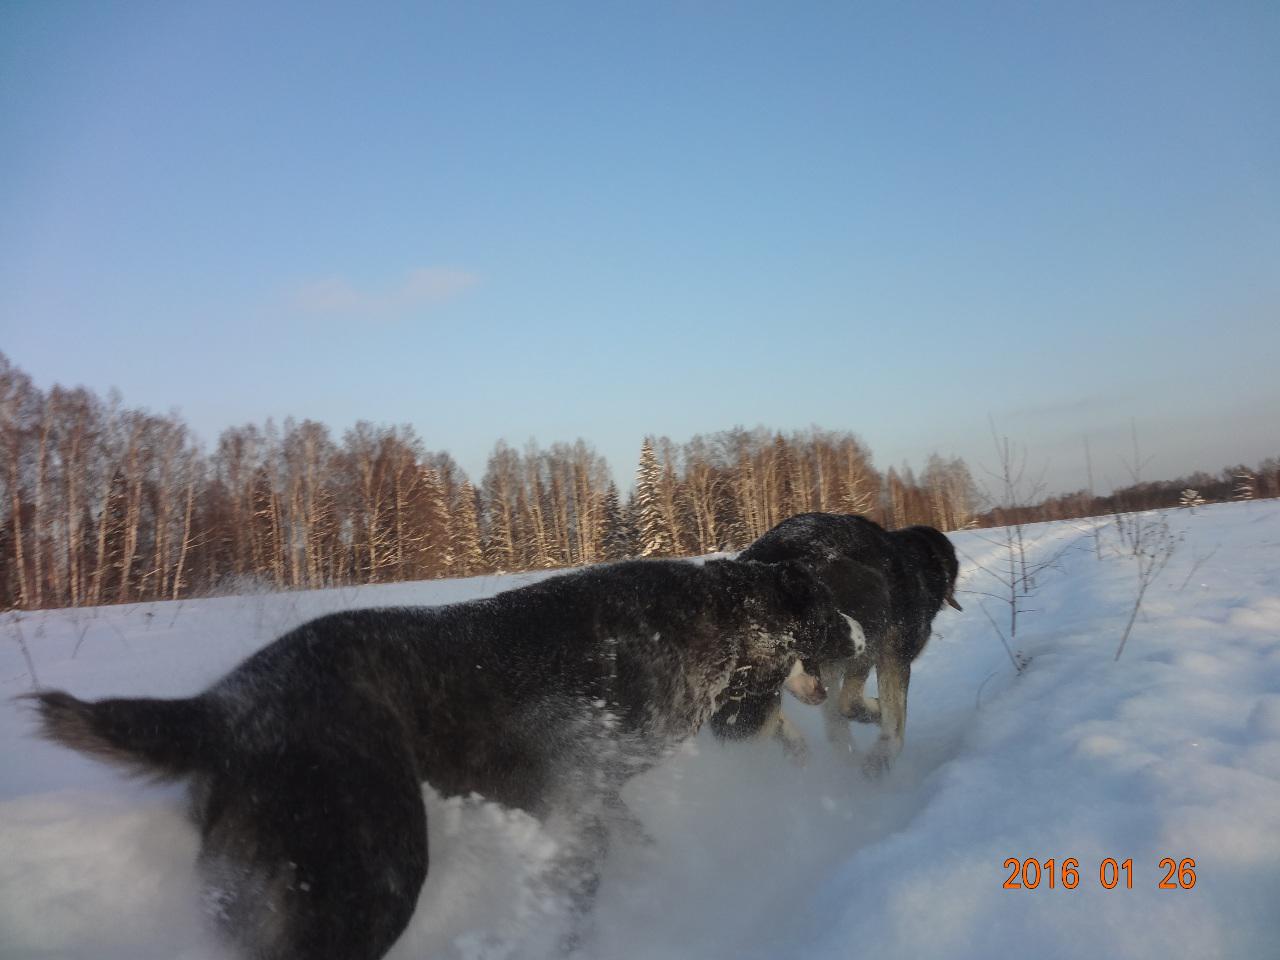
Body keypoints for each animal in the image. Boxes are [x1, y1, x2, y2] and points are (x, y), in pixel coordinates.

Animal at [24, 555, 849, 960]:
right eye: (823, 602)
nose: (857, 631)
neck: (717, 613)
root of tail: (221, 707)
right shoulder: (582, 792)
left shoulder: (582, 799)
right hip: (370, 879)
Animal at [711, 514, 962, 778]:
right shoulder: (893, 656)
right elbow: (886, 718)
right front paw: (881, 747)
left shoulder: (829, 672)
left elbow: (836, 720)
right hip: (869, 617)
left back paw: (796, 744)